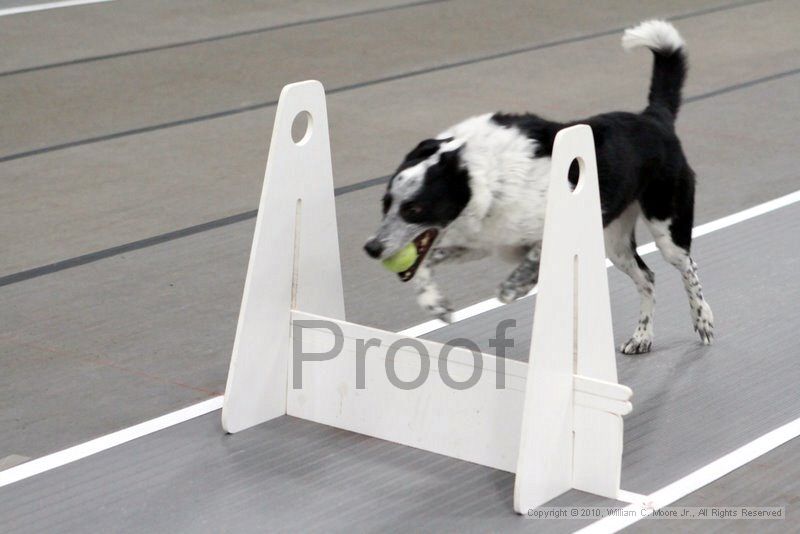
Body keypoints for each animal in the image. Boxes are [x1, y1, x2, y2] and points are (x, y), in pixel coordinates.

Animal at [366, 21, 716, 356]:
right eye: (385, 203)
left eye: (414, 208)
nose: (371, 248)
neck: (475, 172)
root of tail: (654, 118)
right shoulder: (478, 244)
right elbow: (425, 265)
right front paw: (435, 304)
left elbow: (529, 261)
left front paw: (513, 289)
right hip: (615, 243)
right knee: (648, 279)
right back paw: (642, 337)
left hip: (666, 226)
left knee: (688, 267)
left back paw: (703, 320)